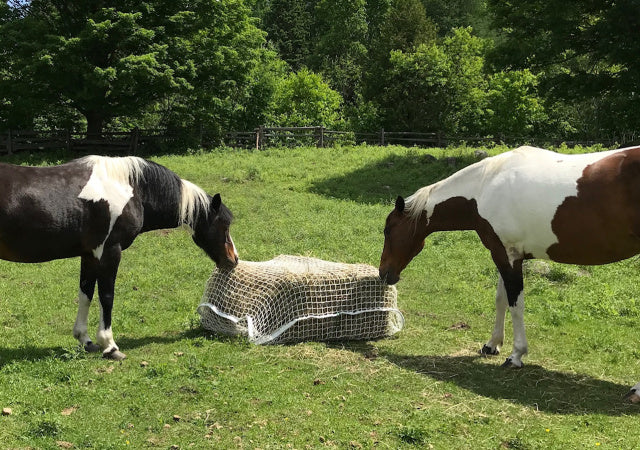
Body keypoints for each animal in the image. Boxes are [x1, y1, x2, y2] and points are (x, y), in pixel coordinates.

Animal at [0, 155, 239, 362]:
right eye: (224, 225)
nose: (233, 259)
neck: (132, 189)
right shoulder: (110, 252)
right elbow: (106, 296)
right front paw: (110, 346)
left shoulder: (90, 255)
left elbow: (86, 294)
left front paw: (86, 340)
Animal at [378, 145, 640, 400]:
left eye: (388, 230)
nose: (384, 273)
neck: (485, 186)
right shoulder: (504, 255)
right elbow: (501, 299)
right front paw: (491, 345)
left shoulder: (508, 256)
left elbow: (515, 304)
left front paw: (515, 356)